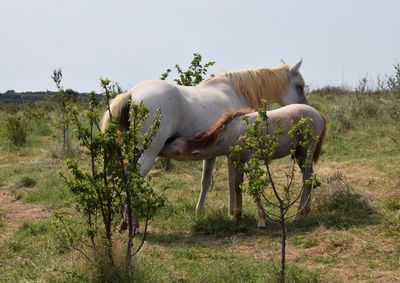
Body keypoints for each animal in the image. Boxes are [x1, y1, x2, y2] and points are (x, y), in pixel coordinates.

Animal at [101, 59, 308, 217]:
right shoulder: (230, 152)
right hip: (148, 153)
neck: (234, 91)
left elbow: (206, 182)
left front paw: (200, 212)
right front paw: (233, 212)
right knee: (131, 180)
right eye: (299, 86)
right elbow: (232, 181)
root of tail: (132, 94)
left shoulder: (212, 154)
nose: (306, 107)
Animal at [161, 104, 326, 229]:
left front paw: (261, 221)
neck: (232, 132)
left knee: (307, 179)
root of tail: (319, 114)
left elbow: (254, 185)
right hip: (299, 154)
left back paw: (298, 216)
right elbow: (237, 185)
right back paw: (305, 212)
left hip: (306, 151)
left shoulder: (250, 159)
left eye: (174, 147)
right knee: (309, 177)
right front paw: (236, 217)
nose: (161, 146)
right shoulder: (237, 160)